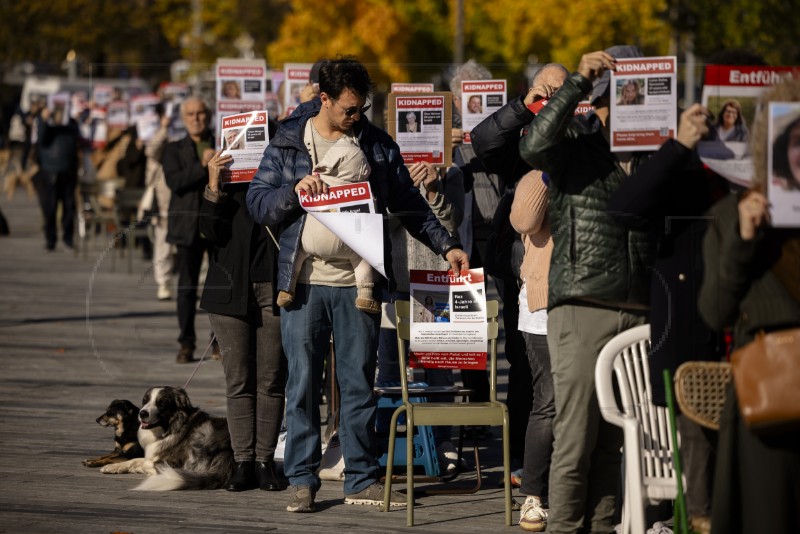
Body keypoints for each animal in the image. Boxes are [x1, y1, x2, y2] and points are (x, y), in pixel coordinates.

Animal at [100, 388, 234, 492]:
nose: (142, 413)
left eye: (161, 404)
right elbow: (135, 460)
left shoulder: (174, 462)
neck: (171, 428)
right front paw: (113, 467)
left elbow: (145, 463)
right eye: (145, 401)